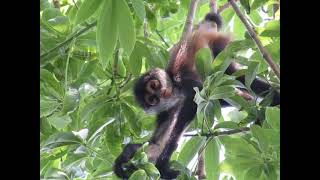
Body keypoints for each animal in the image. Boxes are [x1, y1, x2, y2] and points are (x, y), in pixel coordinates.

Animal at [114, 12, 278, 179]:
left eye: (154, 85)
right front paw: (126, 155)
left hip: (222, 50)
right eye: (152, 99)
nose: (162, 93)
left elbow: (194, 101)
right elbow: (156, 142)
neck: (174, 88)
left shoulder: (184, 81)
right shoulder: (167, 109)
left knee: (239, 77)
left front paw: (163, 164)